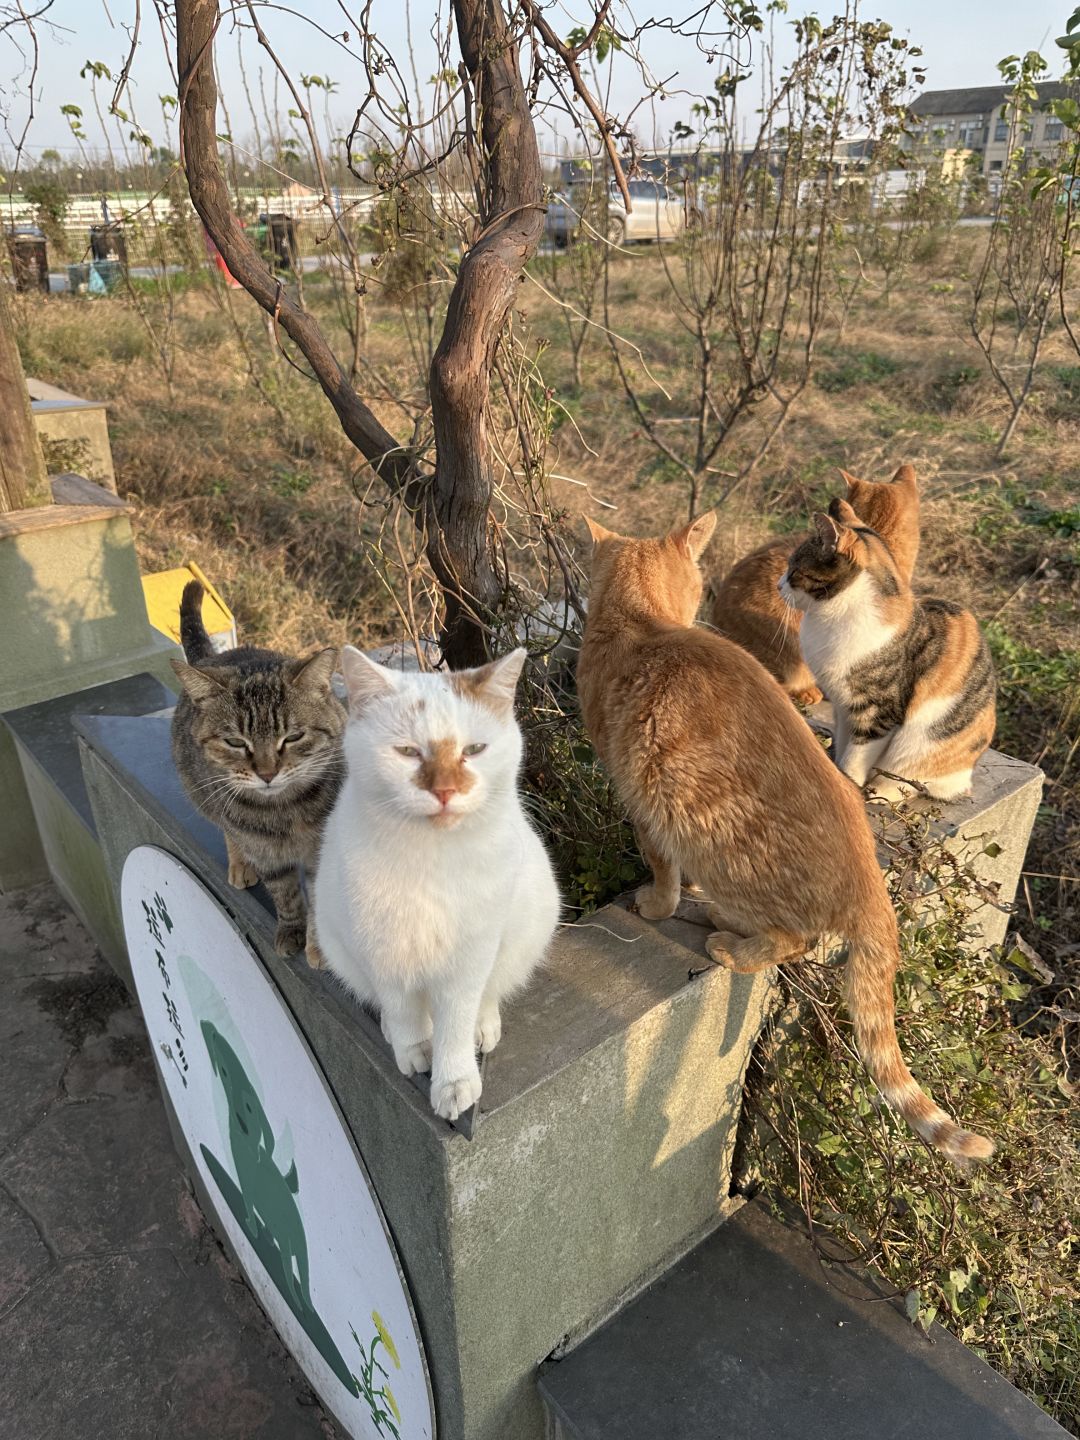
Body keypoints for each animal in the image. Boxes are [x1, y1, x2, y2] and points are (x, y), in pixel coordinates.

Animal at [171, 578, 344, 961]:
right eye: (236, 742)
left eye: (293, 737)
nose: (267, 773)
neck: (285, 810)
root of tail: (213, 656)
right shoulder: (269, 857)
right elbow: (285, 895)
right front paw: (291, 930)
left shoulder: (323, 852)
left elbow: (318, 899)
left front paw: (318, 946)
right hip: (206, 799)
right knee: (228, 831)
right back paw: (239, 864)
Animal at [312, 645, 561, 1123]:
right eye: (408, 751)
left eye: (475, 749)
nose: (445, 791)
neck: (431, 857)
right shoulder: (382, 950)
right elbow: (403, 1010)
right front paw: (413, 1049)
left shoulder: (468, 959)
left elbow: (456, 1022)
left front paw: (454, 1081)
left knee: (489, 994)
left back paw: (484, 1025)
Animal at [777, 501, 996, 806]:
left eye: (794, 570)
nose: (778, 585)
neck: (831, 618)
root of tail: (965, 780)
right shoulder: (843, 706)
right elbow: (844, 743)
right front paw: (835, 767)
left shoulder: (878, 711)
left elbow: (857, 755)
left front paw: (849, 782)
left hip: (919, 744)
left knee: (909, 780)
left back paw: (878, 793)